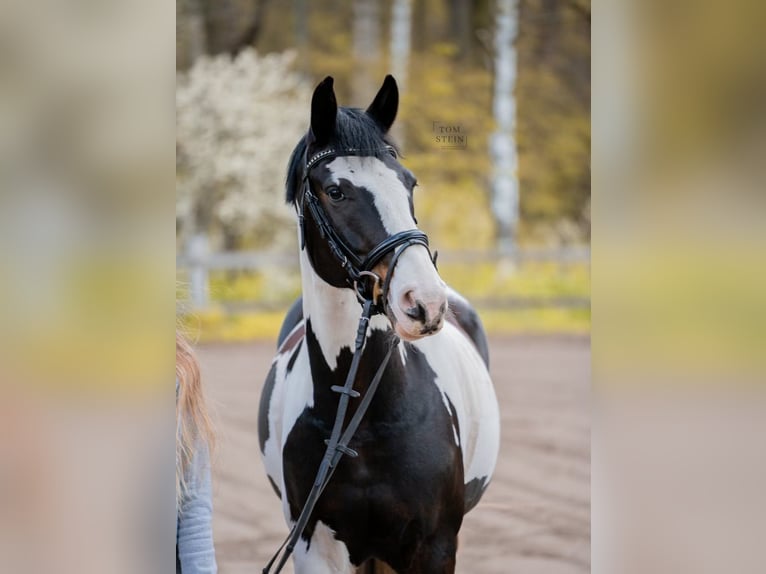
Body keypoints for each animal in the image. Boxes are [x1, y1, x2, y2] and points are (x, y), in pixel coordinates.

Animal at [258, 75, 500, 574]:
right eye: (336, 191)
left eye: (409, 183)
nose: (424, 302)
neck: (364, 423)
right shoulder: (315, 550)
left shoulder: (434, 547)